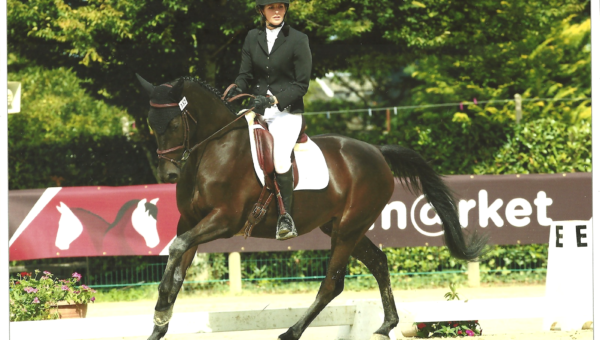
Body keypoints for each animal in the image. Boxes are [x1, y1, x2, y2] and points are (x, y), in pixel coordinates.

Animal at [134, 75, 486, 340]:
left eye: (174, 124)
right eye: (151, 123)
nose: (168, 175)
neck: (212, 150)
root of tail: (376, 151)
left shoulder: (224, 220)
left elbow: (177, 248)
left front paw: (160, 306)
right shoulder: (190, 221)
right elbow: (179, 263)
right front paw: (160, 321)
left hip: (347, 229)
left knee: (333, 283)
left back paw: (292, 332)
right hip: (342, 227)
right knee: (378, 262)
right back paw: (385, 325)